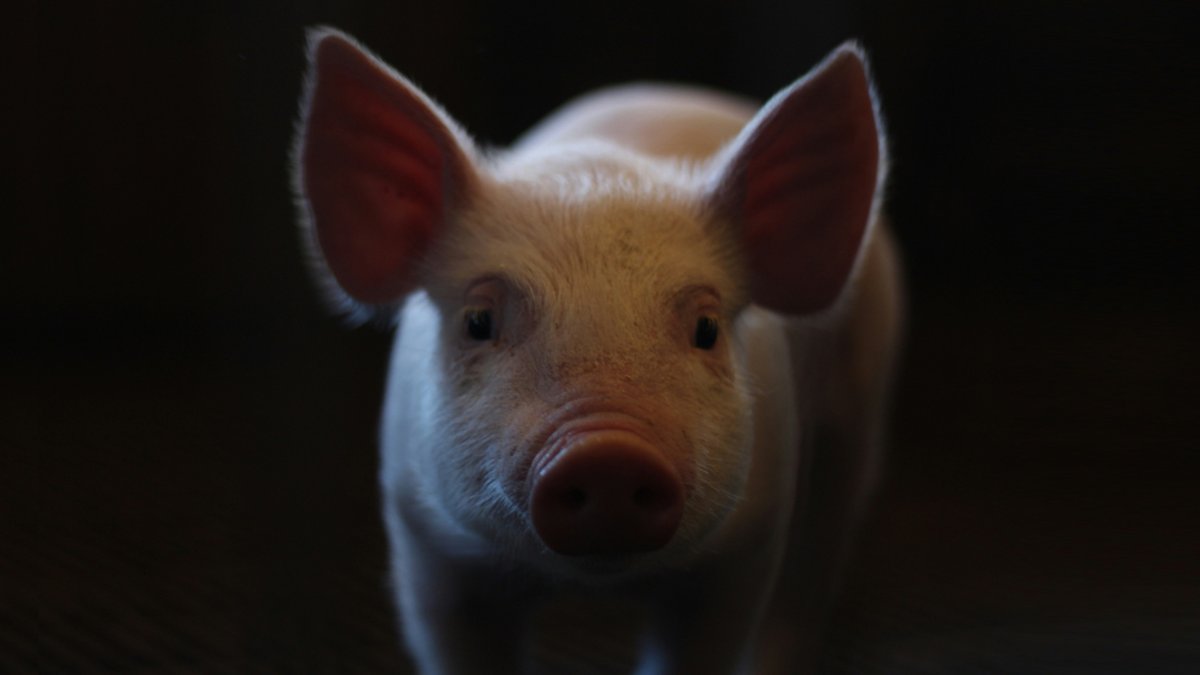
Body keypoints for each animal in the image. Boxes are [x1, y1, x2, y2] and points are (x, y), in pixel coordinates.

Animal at [292, 26, 903, 675]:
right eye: (478, 321)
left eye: (707, 327)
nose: (609, 453)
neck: (592, 586)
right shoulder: (426, 545)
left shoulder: (744, 548)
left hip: (857, 412)